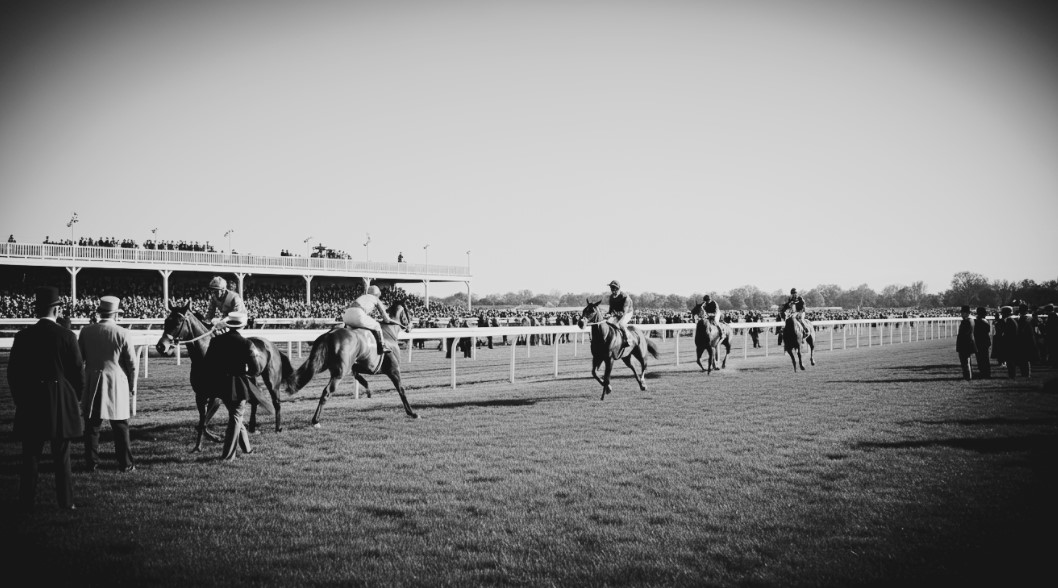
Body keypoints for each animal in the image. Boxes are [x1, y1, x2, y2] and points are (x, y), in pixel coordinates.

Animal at [155, 300, 298, 452]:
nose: (161, 346)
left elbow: (203, 422)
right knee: (254, 400)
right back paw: (252, 427)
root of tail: (272, 345)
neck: (205, 356)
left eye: (178, 322)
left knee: (276, 402)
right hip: (251, 379)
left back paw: (278, 427)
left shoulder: (216, 396)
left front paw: (216, 438)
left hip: (272, 379)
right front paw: (200, 445)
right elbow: (200, 423)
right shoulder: (200, 395)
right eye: (166, 321)